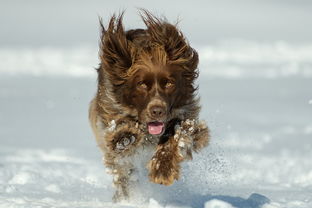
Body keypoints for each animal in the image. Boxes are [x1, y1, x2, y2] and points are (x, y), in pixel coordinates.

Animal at [88, 10, 210, 202]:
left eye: (169, 83)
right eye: (141, 84)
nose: (157, 111)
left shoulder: (187, 116)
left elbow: (179, 134)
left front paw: (163, 169)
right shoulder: (108, 111)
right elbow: (117, 137)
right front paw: (125, 137)